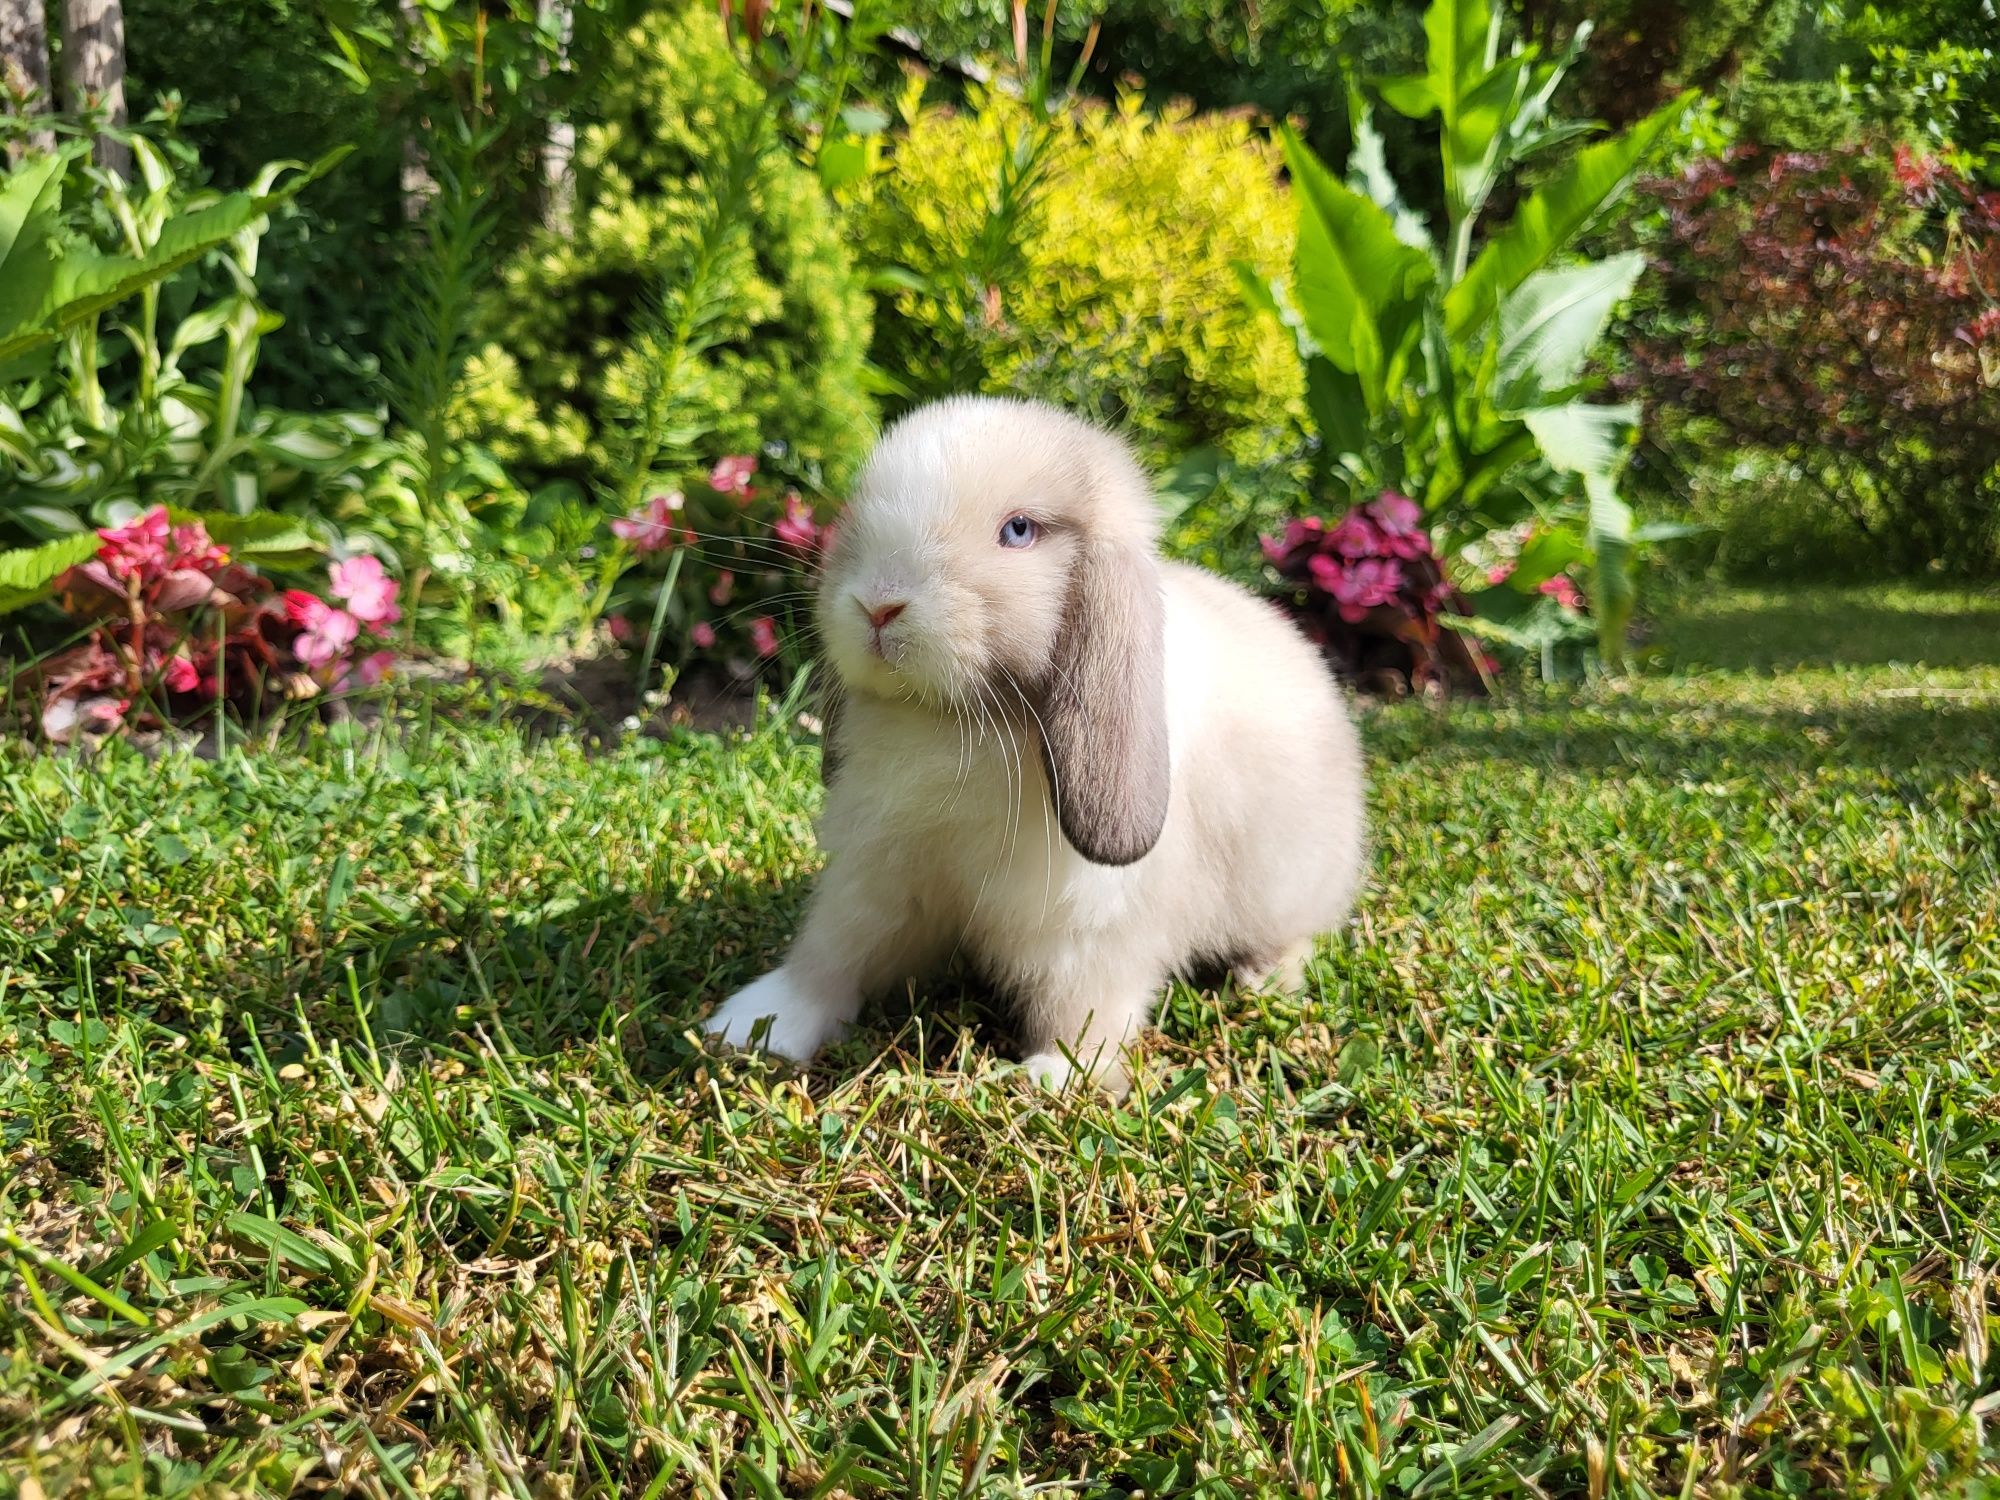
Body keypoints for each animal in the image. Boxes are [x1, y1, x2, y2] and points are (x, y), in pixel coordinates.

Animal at [696, 400, 1368, 1096]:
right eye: (858, 507)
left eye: (1018, 531)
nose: (878, 604)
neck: (953, 721)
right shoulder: (876, 878)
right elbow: (831, 956)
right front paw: (757, 1026)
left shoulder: (1088, 930)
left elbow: (1084, 1005)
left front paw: (1059, 1076)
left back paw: (1264, 980)